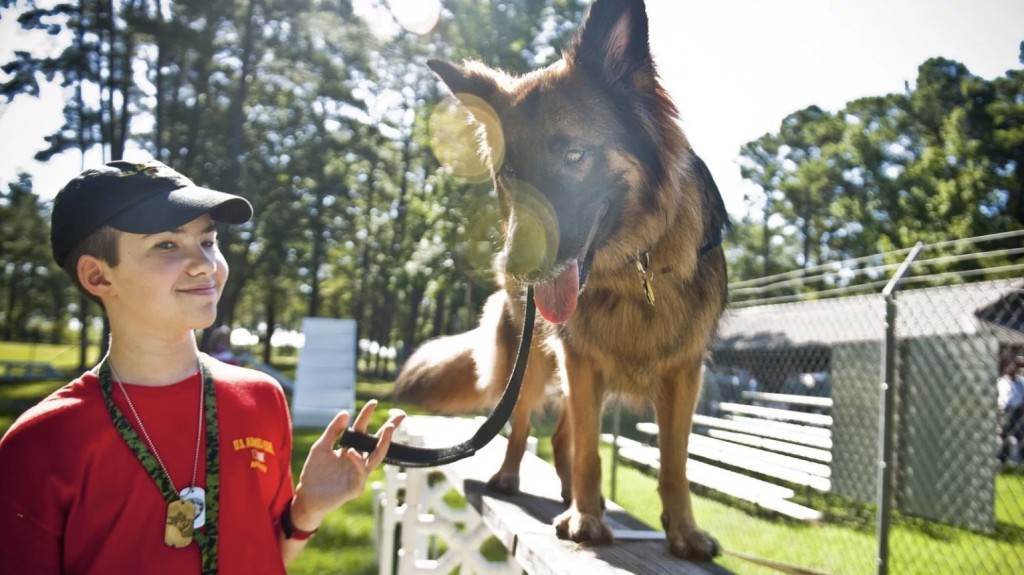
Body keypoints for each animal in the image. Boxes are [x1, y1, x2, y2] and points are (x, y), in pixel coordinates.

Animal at [393, 0, 729, 556]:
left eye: (573, 156)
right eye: (509, 174)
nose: (515, 270)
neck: (633, 271)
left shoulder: (683, 372)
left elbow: (674, 465)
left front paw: (683, 531)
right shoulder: (581, 362)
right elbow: (590, 450)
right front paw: (586, 518)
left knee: (559, 437)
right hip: (530, 365)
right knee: (525, 427)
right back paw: (514, 479)